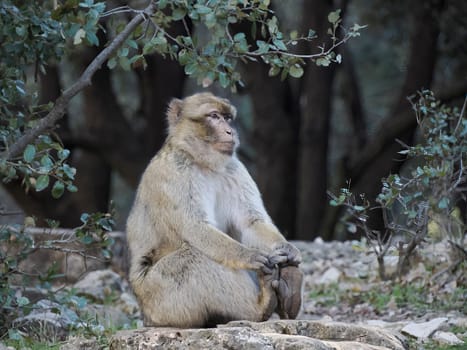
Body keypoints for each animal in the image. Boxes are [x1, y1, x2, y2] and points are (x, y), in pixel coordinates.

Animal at [127, 93, 304, 328]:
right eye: (213, 116)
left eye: (228, 118)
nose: (230, 131)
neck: (201, 162)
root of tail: (146, 317)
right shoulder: (173, 173)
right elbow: (196, 227)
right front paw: (249, 256)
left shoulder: (235, 168)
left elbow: (251, 222)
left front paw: (287, 249)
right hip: (161, 301)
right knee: (196, 258)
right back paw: (260, 308)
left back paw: (289, 289)